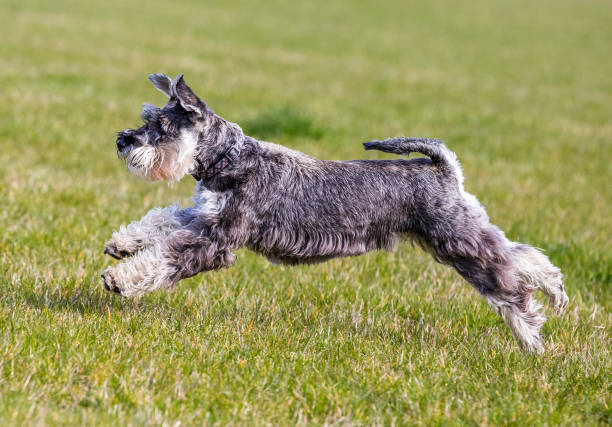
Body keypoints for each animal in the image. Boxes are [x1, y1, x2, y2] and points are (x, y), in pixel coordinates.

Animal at [101, 74, 568, 354]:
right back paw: (556, 292)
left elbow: (165, 258)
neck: (229, 159)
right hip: (464, 231)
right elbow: (161, 220)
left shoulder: (215, 239)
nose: (123, 140)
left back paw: (532, 340)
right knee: (521, 255)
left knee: (510, 287)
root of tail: (443, 168)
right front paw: (122, 243)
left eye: (161, 127)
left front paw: (120, 279)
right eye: (147, 118)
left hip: (456, 240)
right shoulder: (202, 217)